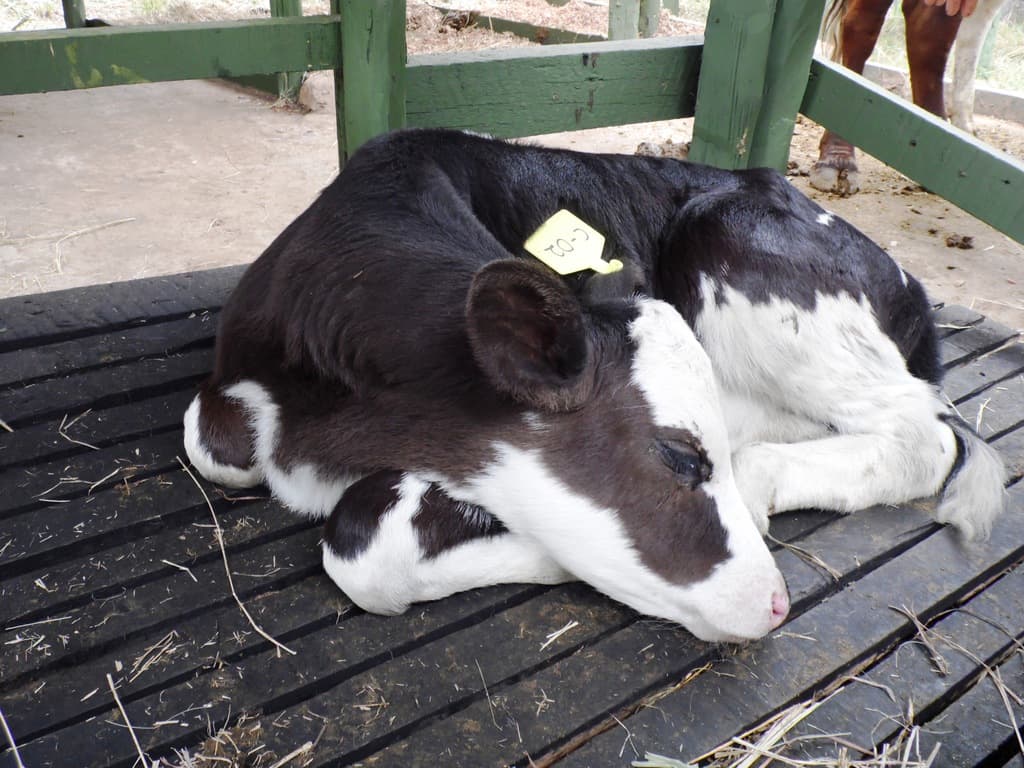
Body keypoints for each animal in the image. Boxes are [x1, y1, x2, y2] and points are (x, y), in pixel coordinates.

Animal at [183, 128, 1006, 643]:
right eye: (679, 457)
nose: (774, 604)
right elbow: (212, 441)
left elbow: (365, 545)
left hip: (735, 242)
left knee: (925, 434)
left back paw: (764, 481)